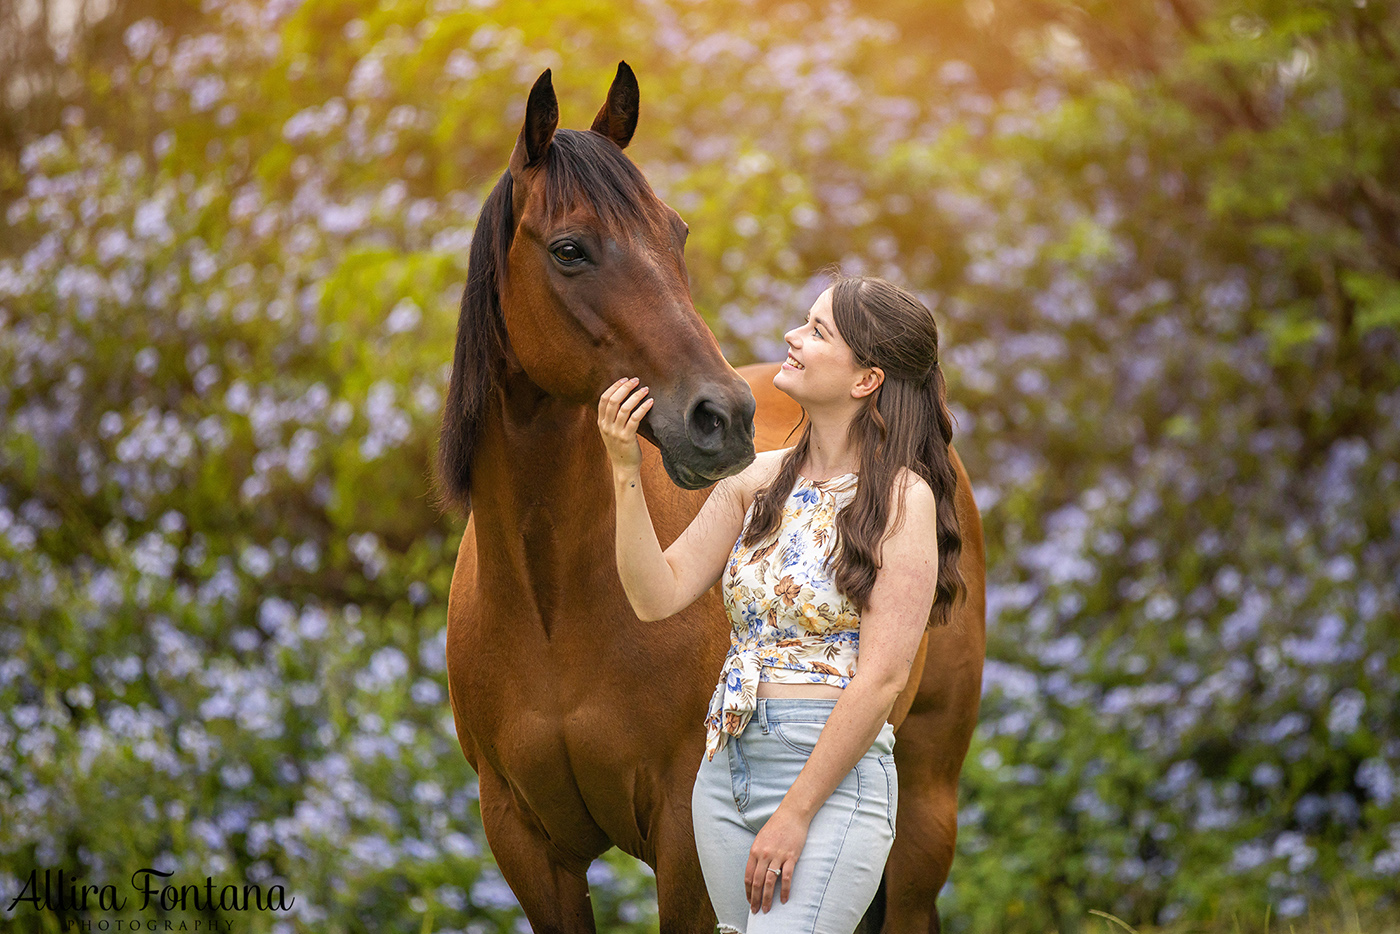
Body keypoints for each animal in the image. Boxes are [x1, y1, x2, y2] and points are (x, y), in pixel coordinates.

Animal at [434, 61, 985, 929]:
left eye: (677, 233)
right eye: (569, 249)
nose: (722, 419)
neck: (549, 598)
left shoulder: (684, 838)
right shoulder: (526, 846)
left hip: (926, 802)